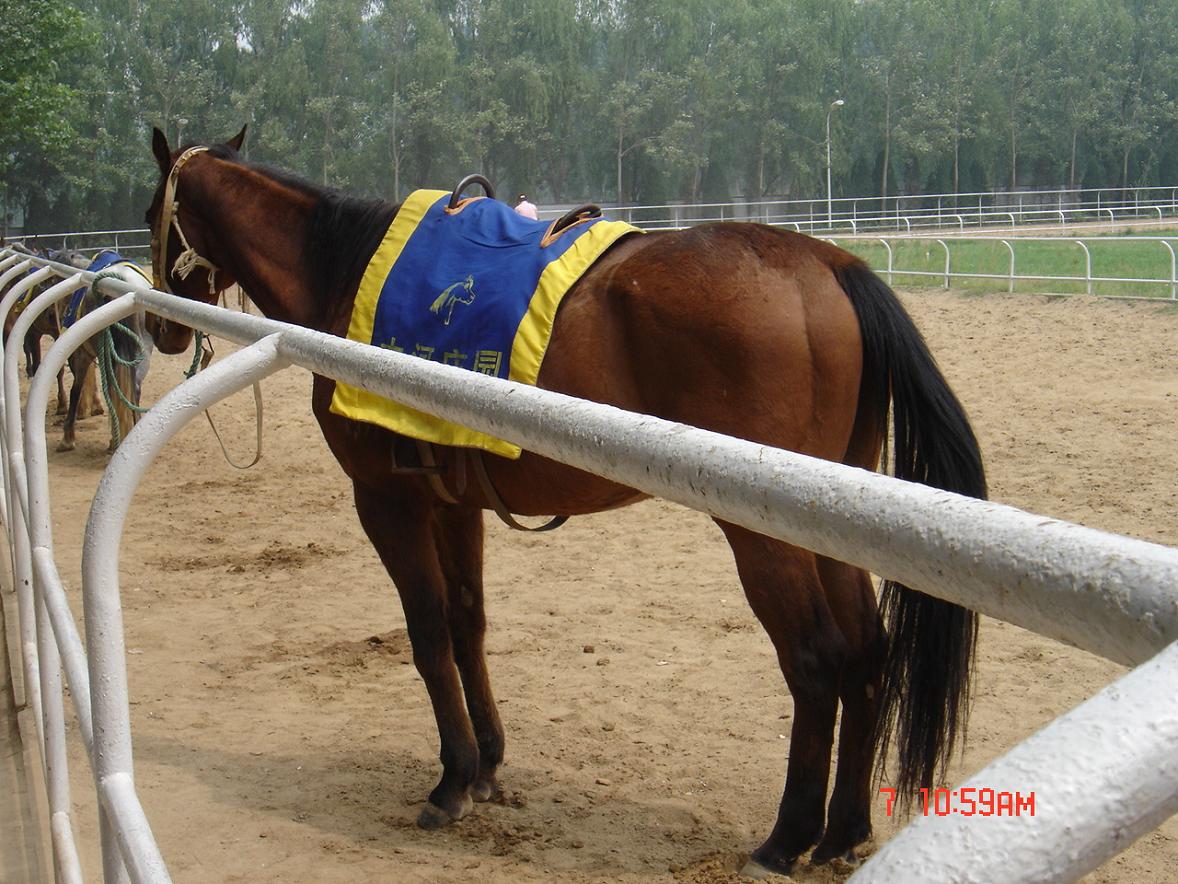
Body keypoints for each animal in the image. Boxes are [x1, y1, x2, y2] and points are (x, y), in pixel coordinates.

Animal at [142, 127, 984, 876]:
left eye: (151, 209)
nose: (157, 327)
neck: (348, 275)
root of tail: (827, 263)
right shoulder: (454, 504)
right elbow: (467, 624)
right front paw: (486, 765)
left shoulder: (387, 501)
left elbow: (426, 634)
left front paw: (451, 780)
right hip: (835, 520)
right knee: (867, 653)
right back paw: (843, 830)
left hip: (765, 535)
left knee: (815, 661)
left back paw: (788, 837)